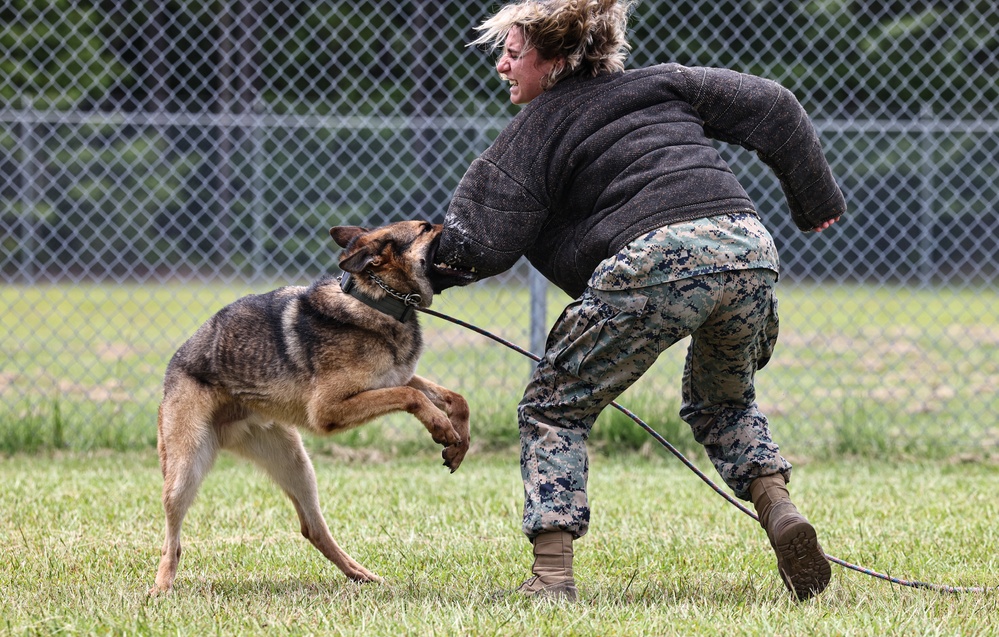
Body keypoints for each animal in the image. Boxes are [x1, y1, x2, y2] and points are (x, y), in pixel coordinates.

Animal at [149, 221, 476, 592]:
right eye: (426, 228)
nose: (457, 229)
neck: (376, 300)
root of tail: (174, 365)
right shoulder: (329, 410)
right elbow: (412, 396)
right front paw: (441, 427)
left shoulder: (397, 378)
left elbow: (454, 398)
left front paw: (459, 443)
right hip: (185, 470)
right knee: (172, 540)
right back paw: (161, 587)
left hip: (296, 465)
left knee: (313, 528)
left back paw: (359, 573)